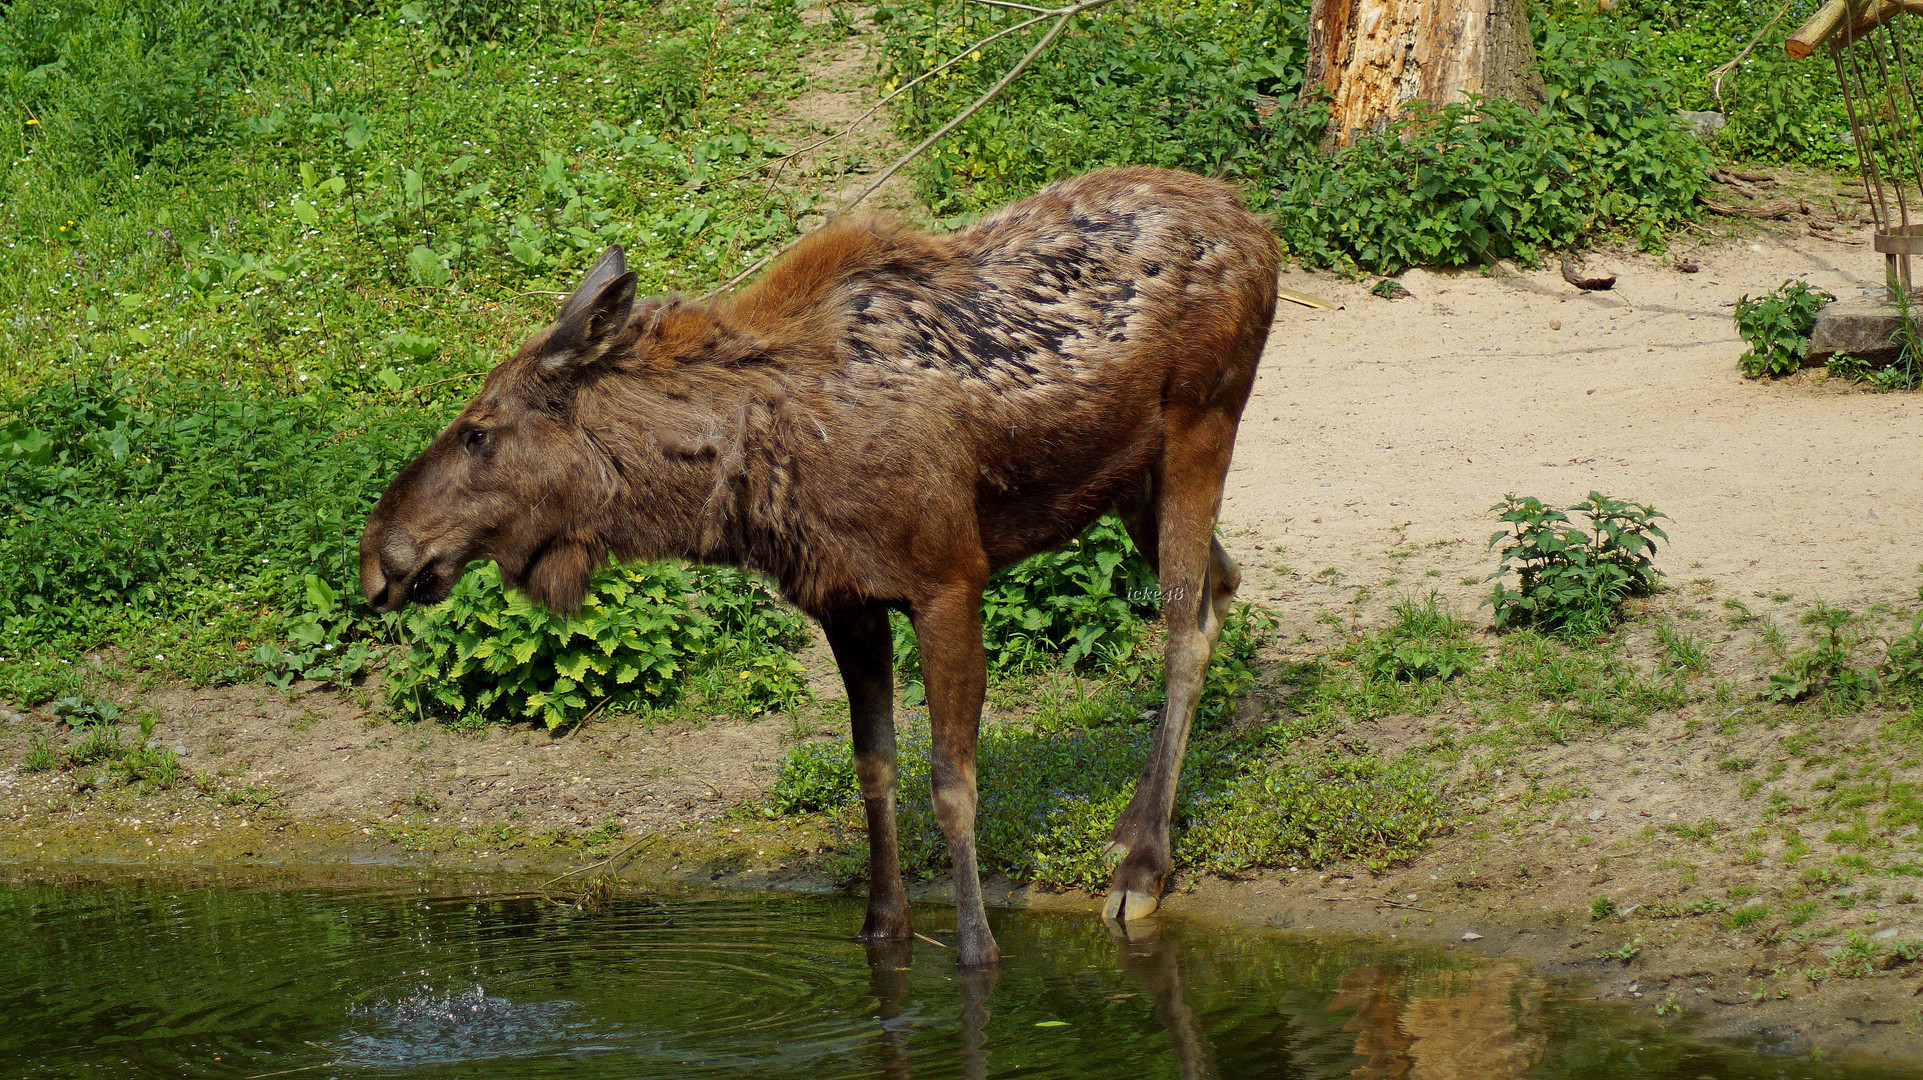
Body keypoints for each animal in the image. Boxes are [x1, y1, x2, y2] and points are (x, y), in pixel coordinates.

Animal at [367, 166, 1284, 957]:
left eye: (477, 431)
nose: (382, 552)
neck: (742, 477)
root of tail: (1255, 224)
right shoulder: (845, 602)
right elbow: (873, 765)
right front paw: (885, 930)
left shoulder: (948, 578)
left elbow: (952, 783)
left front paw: (977, 950)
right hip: (1132, 476)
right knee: (1222, 585)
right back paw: (1135, 830)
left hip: (1203, 422)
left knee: (1182, 625)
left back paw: (1141, 868)